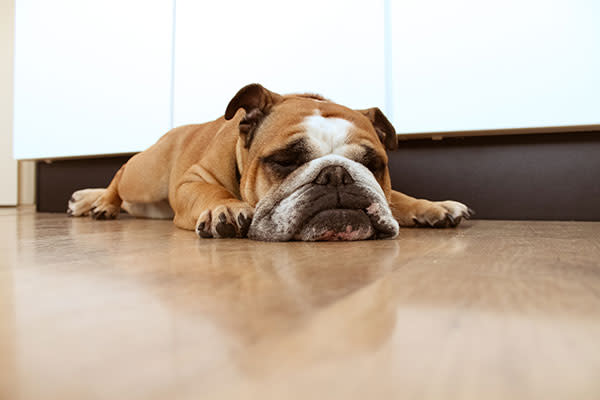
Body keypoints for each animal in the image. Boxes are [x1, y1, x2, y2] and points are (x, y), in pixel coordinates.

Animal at [69, 83, 474, 241]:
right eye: (284, 161)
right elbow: (211, 193)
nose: (337, 175)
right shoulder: (192, 180)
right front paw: (226, 209)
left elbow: (397, 197)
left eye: (373, 164)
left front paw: (432, 207)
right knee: (120, 173)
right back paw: (97, 202)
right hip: (146, 175)